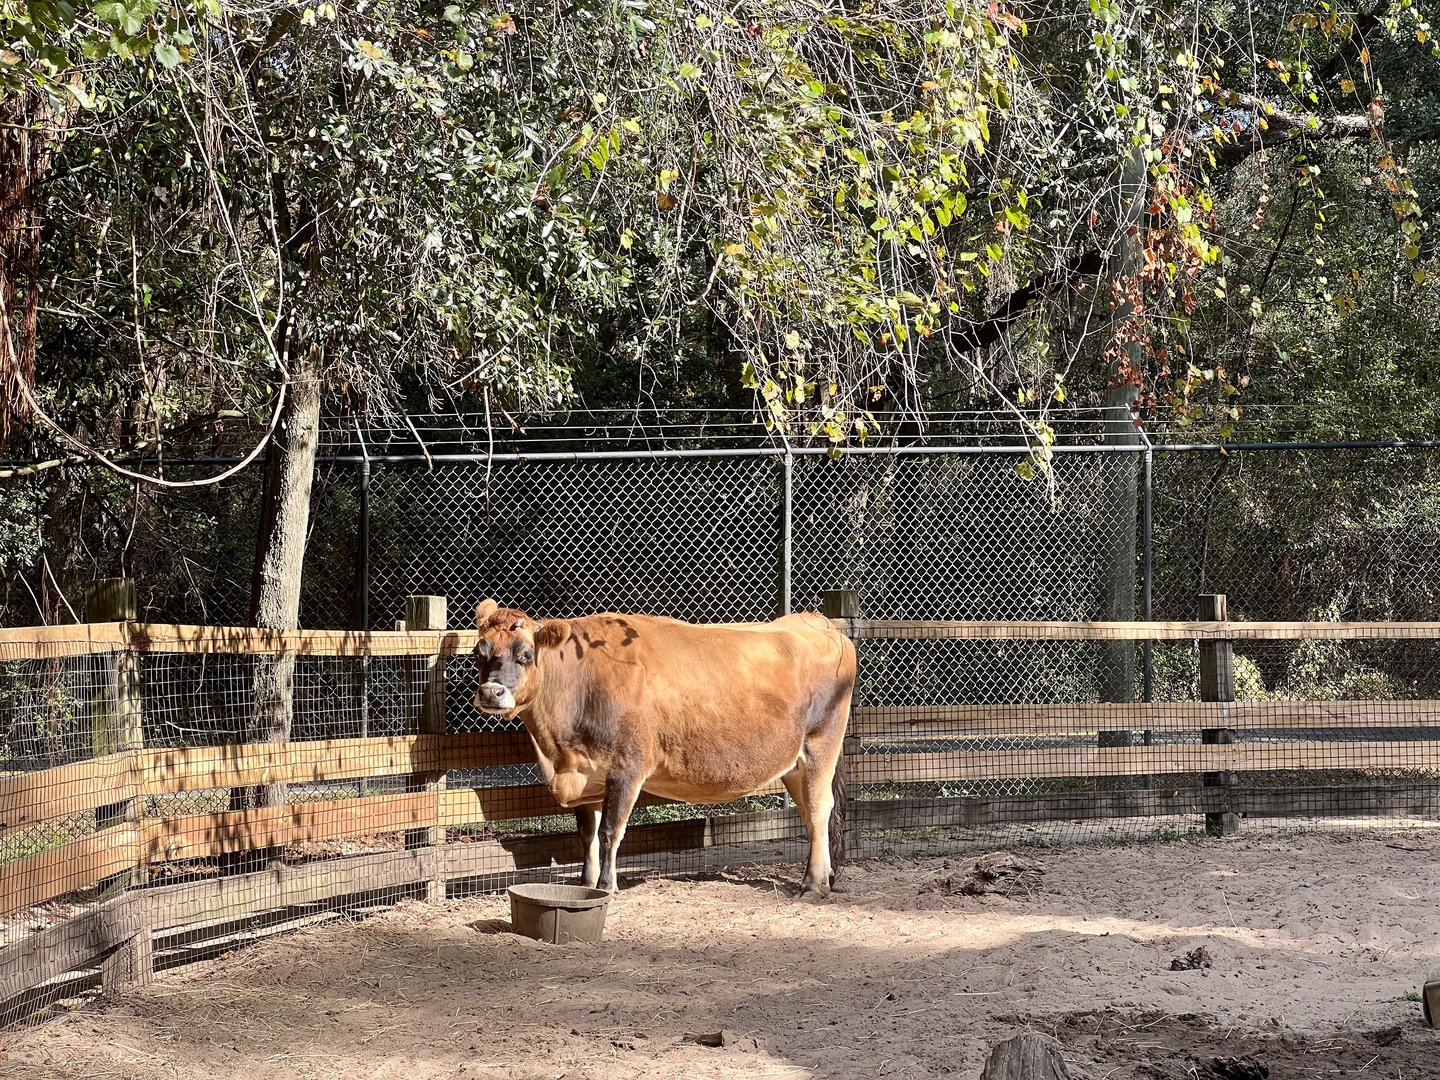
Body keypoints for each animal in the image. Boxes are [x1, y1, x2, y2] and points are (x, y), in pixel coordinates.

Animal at [471, 599, 856, 897]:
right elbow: (587, 835)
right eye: (479, 653)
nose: (491, 692)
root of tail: (816, 622)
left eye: (526, 654)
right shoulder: (586, 771)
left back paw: (812, 884)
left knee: (819, 810)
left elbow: (610, 831)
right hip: (795, 763)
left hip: (821, 745)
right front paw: (586, 883)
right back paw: (824, 876)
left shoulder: (626, 767)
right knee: (811, 813)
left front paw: (606, 887)